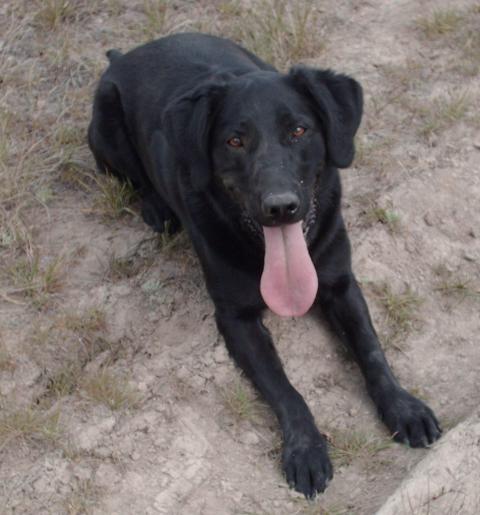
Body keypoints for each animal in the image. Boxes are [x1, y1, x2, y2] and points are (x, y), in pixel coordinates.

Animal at [88, 33, 440, 500]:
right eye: (234, 142)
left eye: (298, 130)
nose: (280, 206)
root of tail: (124, 55)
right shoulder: (235, 319)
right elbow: (284, 387)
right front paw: (306, 449)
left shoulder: (341, 283)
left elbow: (371, 349)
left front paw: (402, 406)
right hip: (107, 128)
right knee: (134, 178)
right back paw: (157, 208)